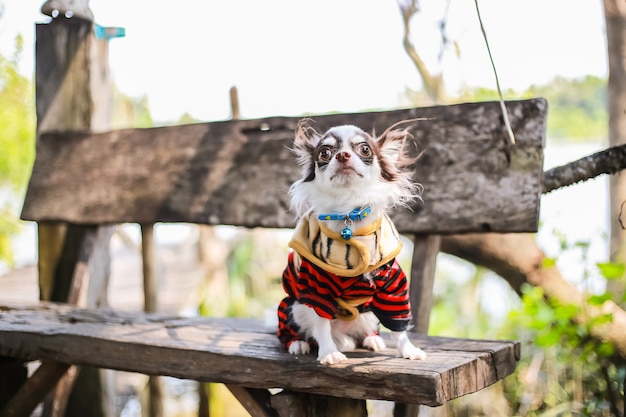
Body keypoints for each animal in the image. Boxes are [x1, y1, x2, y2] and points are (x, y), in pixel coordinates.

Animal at [276, 118, 426, 364]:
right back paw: (298, 343)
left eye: (365, 149)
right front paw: (329, 352)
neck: (349, 213)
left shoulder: (392, 286)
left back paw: (371, 339)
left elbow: (399, 326)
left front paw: (408, 349)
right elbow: (321, 323)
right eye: (325, 153)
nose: (343, 155)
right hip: (293, 308)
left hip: (368, 314)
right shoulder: (317, 288)